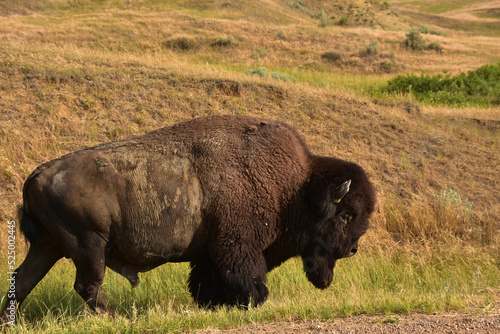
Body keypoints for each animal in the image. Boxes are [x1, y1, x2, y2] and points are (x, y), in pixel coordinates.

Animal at [0, 115, 376, 324]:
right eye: (346, 215)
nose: (352, 249)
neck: (297, 187)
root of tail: (36, 176)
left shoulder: (209, 254)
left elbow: (206, 280)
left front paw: (213, 304)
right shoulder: (238, 247)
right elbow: (248, 279)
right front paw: (252, 302)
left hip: (49, 246)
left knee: (23, 279)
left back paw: (9, 321)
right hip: (89, 246)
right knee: (87, 285)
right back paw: (119, 318)